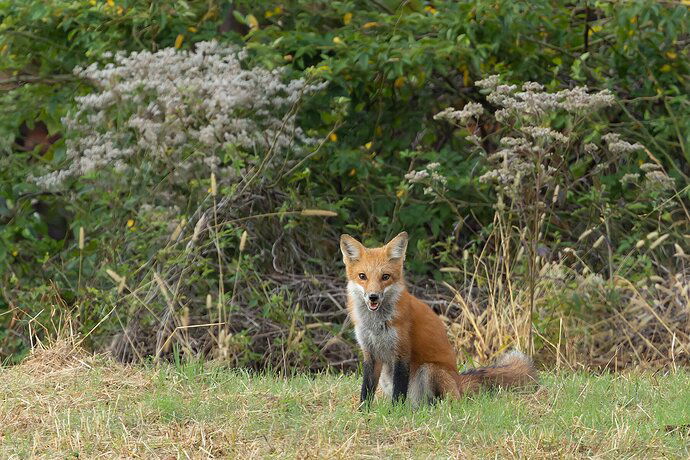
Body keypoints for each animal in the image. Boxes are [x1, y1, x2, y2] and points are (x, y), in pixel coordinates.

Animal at [340, 232, 536, 408]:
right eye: (362, 276)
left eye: (385, 277)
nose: (373, 297)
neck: (376, 324)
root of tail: (459, 383)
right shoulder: (370, 353)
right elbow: (366, 390)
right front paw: (363, 411)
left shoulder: (402, 352)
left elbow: (399, 392)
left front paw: (394, 413)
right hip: (387, 378)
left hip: (430, 370)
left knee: (444, 402)